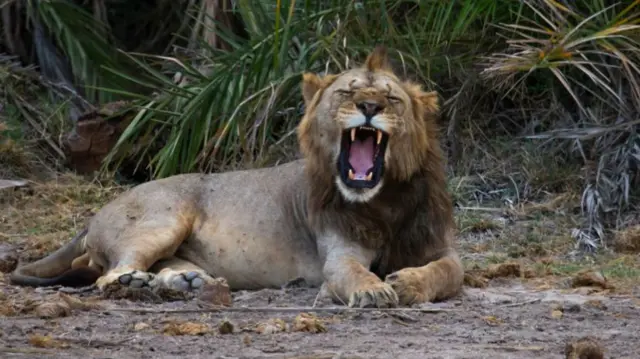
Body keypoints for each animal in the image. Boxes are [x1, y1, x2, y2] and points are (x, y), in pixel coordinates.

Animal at [8, 46, 464, 308]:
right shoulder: (338, 254)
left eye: (391, 98)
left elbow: (449, 272)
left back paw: (185, 282)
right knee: (107, 274)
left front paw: (409, 284)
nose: (369, 106)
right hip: (162, 218)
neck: (385, 201)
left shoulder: (440, 246)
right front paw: (374, 289)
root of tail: (94, 216)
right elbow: (353, 272)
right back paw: (138, 284)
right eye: (347, 93)